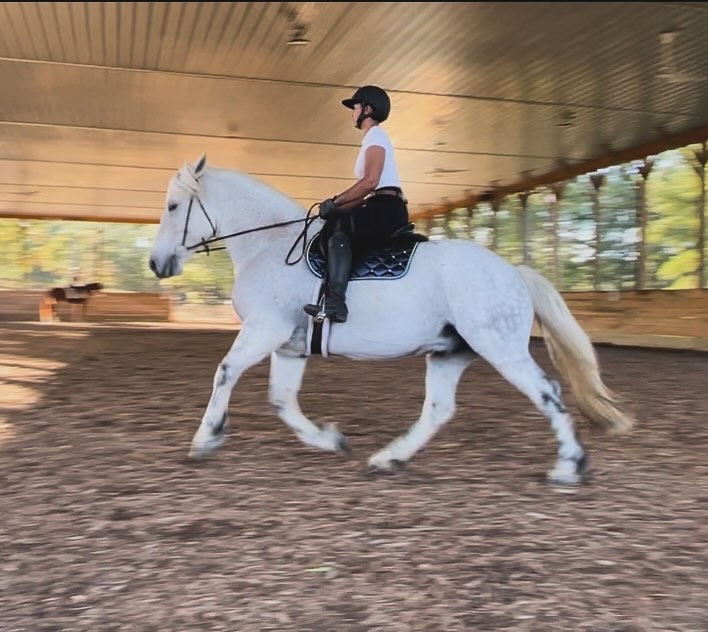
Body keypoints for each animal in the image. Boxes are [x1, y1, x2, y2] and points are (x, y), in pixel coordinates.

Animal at [148, 155, 634, 485]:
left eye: (172, 207)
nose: (156, 264)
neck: (270, 245)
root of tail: (513, 271)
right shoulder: (289, 345)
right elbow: (282, 401)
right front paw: (330, 441)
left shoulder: (265, 329)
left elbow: (225, 371)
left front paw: (206, 437)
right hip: (449, 353)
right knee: (439, 409)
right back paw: (389, 458)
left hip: (500, 347)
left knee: (547, 391)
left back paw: (569, 465)